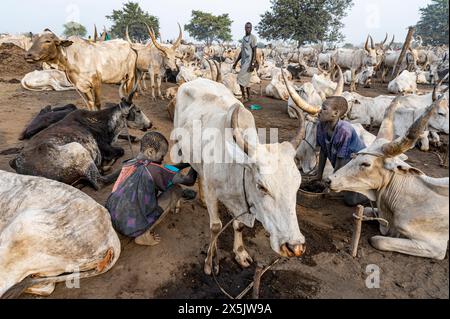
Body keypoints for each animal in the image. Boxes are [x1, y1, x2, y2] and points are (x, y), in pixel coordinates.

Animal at [9, 82, 151, 190]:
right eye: (138, 110)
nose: (150, 124)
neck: (105, 123)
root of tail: (18, 165)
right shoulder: (105, 147)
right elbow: (120, 151)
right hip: (78, 148)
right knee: (100, 181)